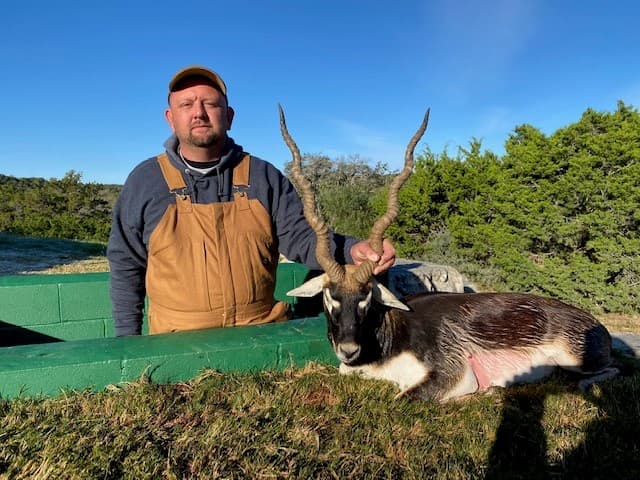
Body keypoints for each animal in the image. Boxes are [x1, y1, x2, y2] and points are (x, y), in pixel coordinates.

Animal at [278, 105, 617, 402]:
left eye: (366, 296)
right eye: (329, 294)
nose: (348, 349)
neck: (389, 338)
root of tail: (596, 324)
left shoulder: (453, 373)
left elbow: (402, 397)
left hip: (578, 362)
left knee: (611, 371)